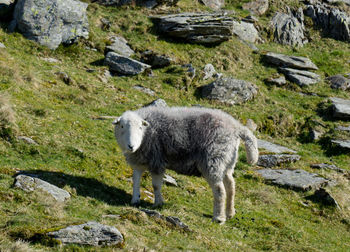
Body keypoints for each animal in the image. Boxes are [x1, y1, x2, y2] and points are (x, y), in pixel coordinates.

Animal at [113, 106, 258, 222]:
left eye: (140, 127)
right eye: (122, 126)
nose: (131, 146)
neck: (146, 135)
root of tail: (236, 127)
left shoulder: (156, 161)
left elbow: (156, 186)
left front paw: (158, 203)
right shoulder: (139, 162)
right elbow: (136, 181)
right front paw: (135, 200)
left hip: (214, 159)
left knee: (220, 190)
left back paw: (218, 218)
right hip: (227, 162)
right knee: (231, 186)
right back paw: (229, 213)